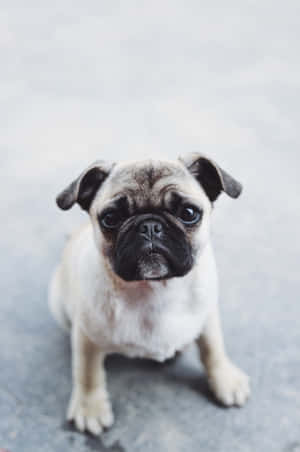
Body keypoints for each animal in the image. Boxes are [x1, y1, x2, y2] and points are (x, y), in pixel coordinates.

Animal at [49, 154, 250, 436]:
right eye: (110, 218)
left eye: (189, 213)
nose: (150, 226)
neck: (154, 288)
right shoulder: (87, 336)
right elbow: (88, 373)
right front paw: (90, 408)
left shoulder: (208, 316)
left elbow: (213, 349)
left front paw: (225, 379)